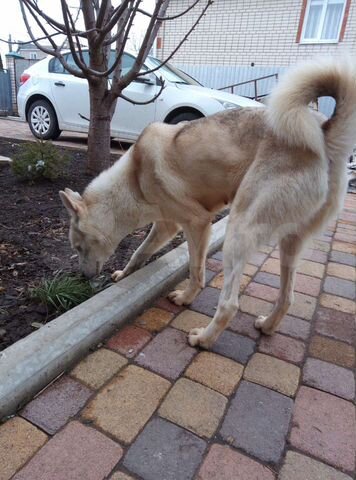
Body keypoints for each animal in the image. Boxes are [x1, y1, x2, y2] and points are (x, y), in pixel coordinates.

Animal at [59, 58, 356, 346]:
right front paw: (124, 275)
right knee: (287, 297)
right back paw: (268, 326)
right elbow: (139, 253)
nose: (83, 278)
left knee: (229, 305)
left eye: (78, 247)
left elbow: (195, 270)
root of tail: (324, 132)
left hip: (238, 232)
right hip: (290, 245)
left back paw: (204, 338)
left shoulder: (197, 224)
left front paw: (186, 298)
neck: (134, 179)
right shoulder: (166, 227)